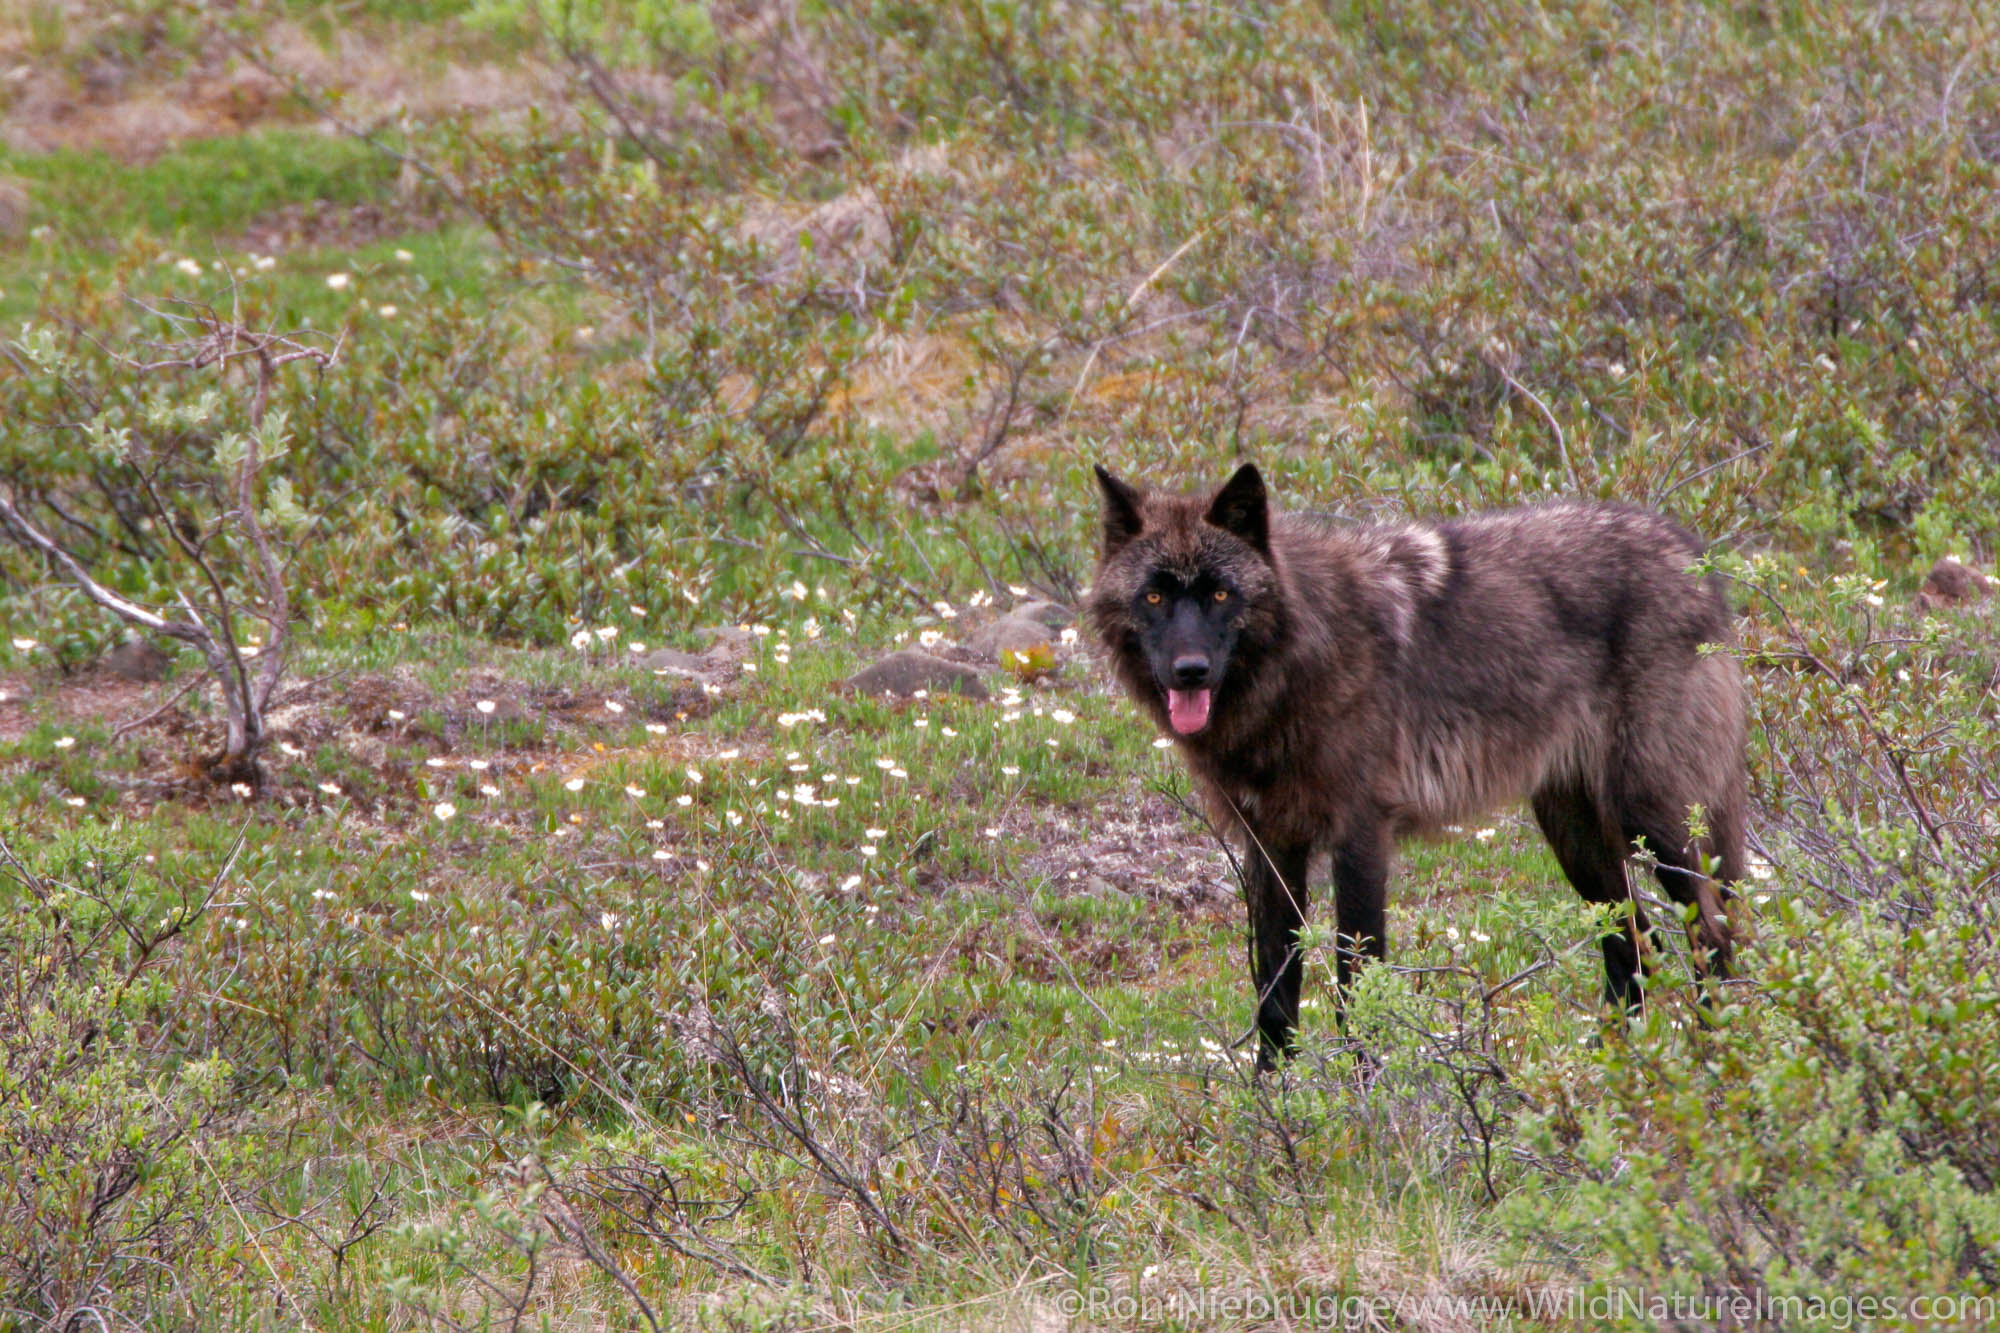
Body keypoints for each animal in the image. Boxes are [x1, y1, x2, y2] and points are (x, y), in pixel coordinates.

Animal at [1088, 462, 1744, 1064]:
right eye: (1154, 596)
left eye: (1221, 594)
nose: (1189, 671)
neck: (1297, 659)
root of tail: (1691, 552)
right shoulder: (1271, 846)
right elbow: (1276, 994)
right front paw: (1272, 1106)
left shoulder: (1360, 837)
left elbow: (1357, 989)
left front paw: (1363, 1102)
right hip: (1575, 836)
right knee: (1636, 949)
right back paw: (1604, 1073)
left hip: (1649, 820)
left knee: (1710, 936)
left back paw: (1719, 1062)